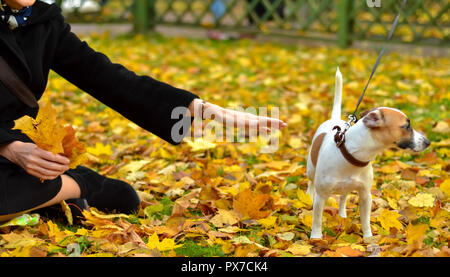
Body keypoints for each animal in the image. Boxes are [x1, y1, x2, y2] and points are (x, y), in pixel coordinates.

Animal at [306, 67, 428, 237]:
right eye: (406, 126)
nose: (428, 142)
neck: (351, 155)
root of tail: (334, 119)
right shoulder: (322, 196)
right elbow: (317, 219)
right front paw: (316, 237)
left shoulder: (365, 195)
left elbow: (365, 220)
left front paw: (368, 238)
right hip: (311, 169)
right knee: (310, 183)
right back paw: (307, 197)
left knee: (343, 196)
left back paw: (342, 214)